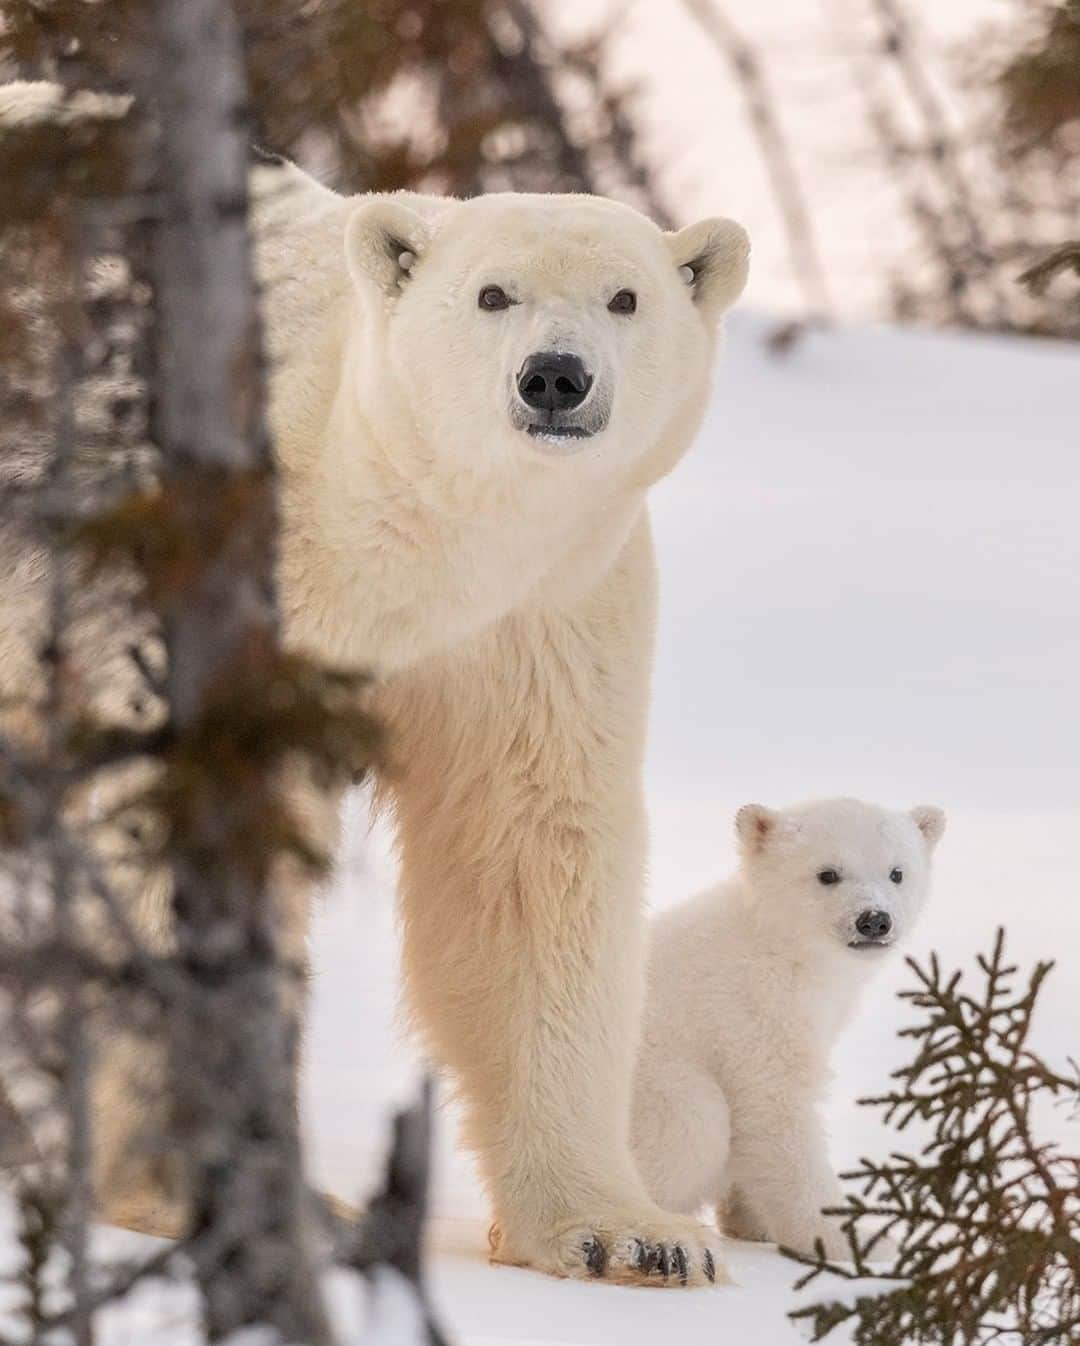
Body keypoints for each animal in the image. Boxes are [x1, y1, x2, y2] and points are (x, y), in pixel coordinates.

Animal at [257, 165, 743, 1281]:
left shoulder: (538, 616)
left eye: (625, 297)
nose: (555, 378)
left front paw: (634, 1236)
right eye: (492, 294)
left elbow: (526, 852)